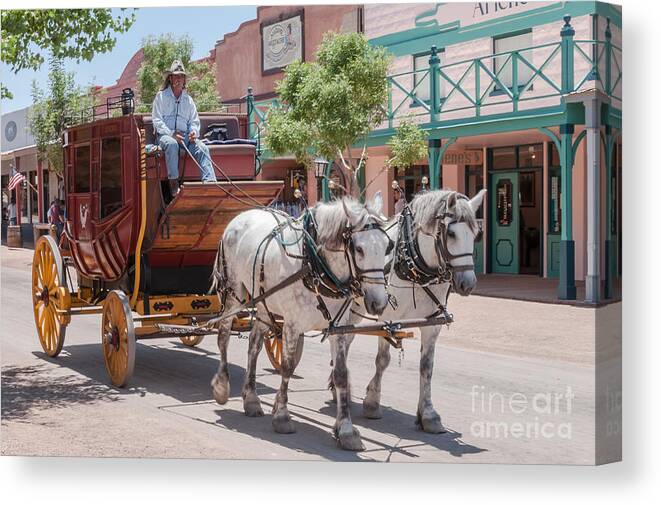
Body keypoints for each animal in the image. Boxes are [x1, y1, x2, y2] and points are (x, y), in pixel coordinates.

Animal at [209, 193, 390, 448]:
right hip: (234, 293)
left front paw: (346, 429)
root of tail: (240, 216)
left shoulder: (339, 328)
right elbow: (287, 367)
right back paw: (222, 387)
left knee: (254, 345)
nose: (378, 303)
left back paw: (251, 398)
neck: (314, 265)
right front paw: (282, 416)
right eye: (359, 249)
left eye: (387, 246)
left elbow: (341, 374)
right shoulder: (293, 324)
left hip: (263, 301)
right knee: (224, 336)